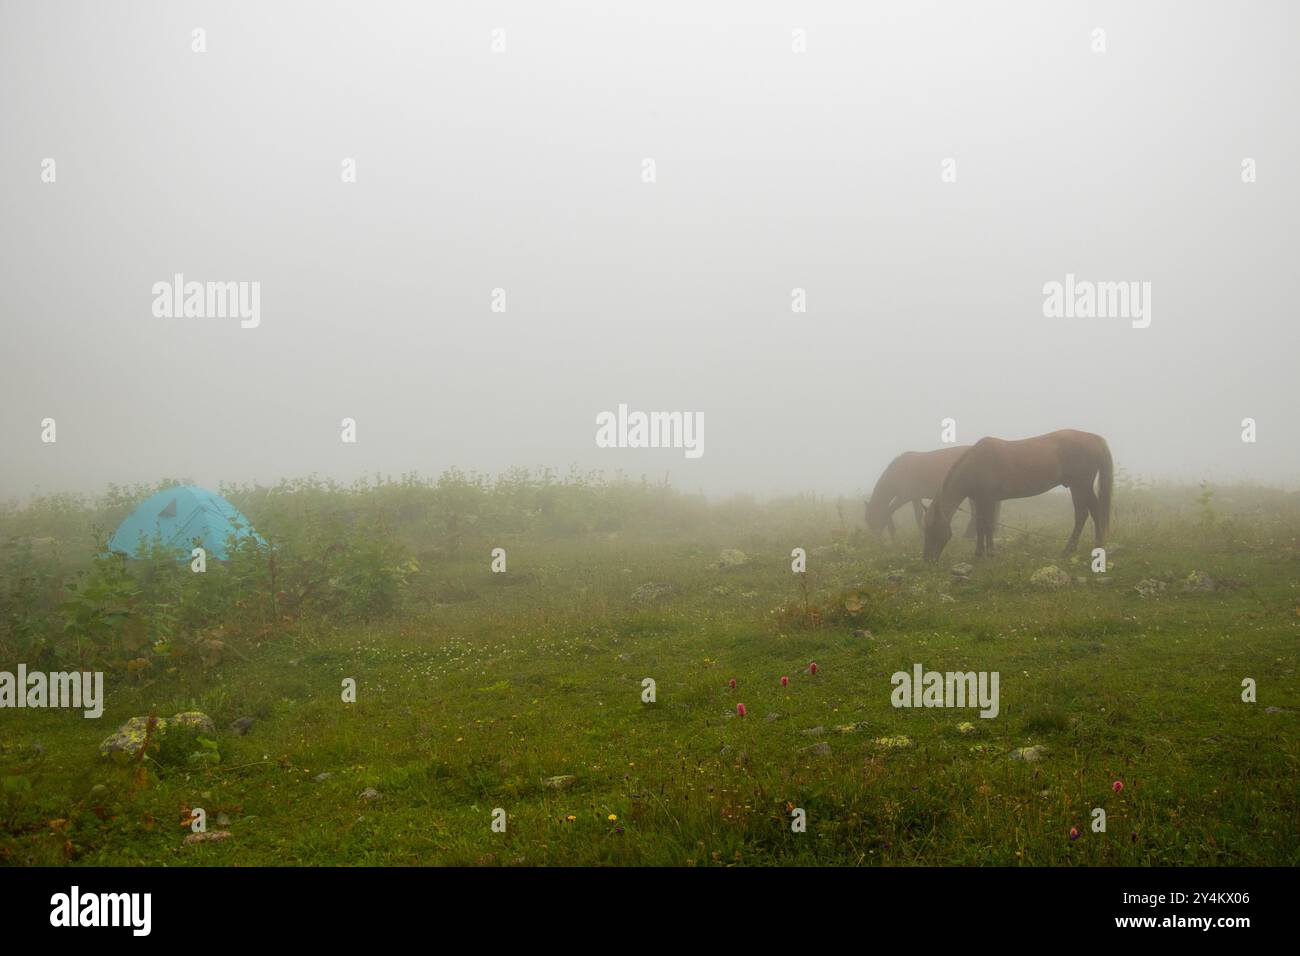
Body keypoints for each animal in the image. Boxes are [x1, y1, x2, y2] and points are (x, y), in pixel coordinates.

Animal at [920, 426, 1112, 561]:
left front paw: (990, 553)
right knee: (1094, 511)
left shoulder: (989, 500)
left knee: (1083, 514)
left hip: (1080, 485)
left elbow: (988, 525)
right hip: (1081, 486)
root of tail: (1095, 439)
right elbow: (980, 526)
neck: (974, 465)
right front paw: (978, 553)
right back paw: (1096, 545)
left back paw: (1070, 549)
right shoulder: (980, 500)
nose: (927, 560)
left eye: (931, 528)